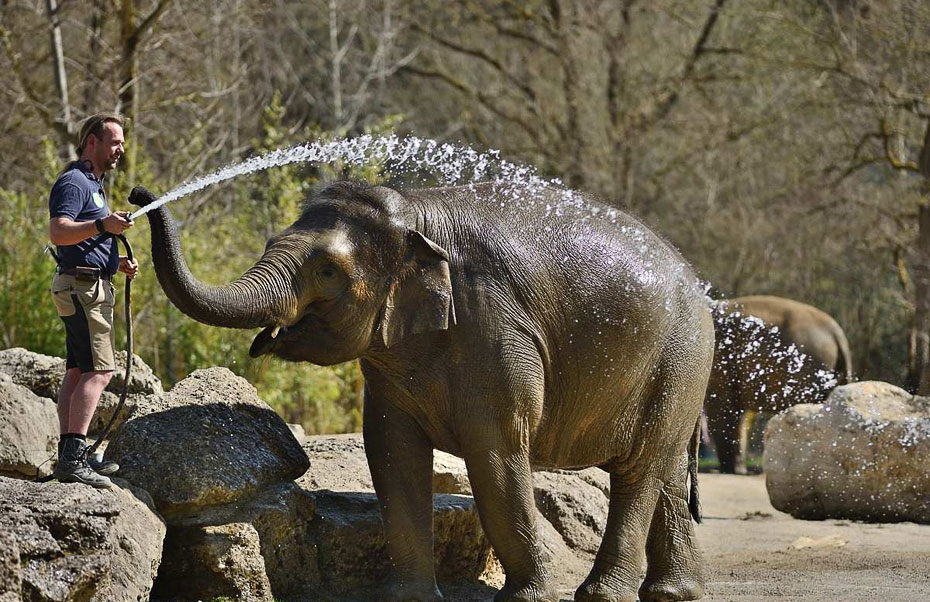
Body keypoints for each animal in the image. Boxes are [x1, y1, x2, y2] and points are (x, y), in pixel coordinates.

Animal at [129, 178, 712, 600]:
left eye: (327, 271)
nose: (136, 195)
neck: (416, 213)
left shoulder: (496, 331)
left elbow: (496, 456)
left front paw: (525, 600)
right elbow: (393, 453)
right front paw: (408, 598)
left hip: (679, 361)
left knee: (639, 470)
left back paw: (603, 596)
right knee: (664, 473)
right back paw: (672, 594)